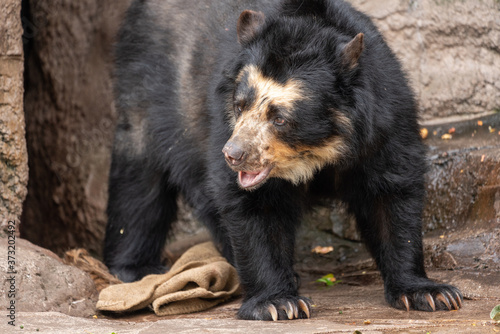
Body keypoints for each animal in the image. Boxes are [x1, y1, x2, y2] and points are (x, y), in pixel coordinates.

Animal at [103, 0, 462, 320]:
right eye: (239, 105)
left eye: (280, 118)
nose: (233, 155)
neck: (320, 150)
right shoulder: (222, 121)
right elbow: (255, 208)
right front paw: (277, 303)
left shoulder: (384, 122)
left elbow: (391, 195)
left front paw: (428, 293)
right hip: (151, 84)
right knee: (139, 179)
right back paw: (135, 267)